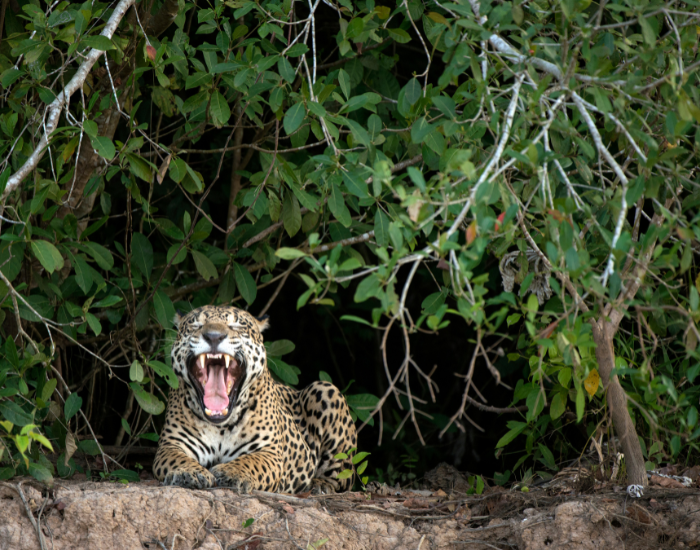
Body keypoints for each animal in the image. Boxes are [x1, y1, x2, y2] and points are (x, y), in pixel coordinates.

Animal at [153, 305, 358, 494]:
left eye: (236, 325)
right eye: (196, 325)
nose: (213, 337)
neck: (220, 424)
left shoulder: (270, 452)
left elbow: (252, 462)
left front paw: (232, 472)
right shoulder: (170, 444)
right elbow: (176, 458)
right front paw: (188, 471)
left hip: (326, 390)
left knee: (342, 476)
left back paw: (320, 485)